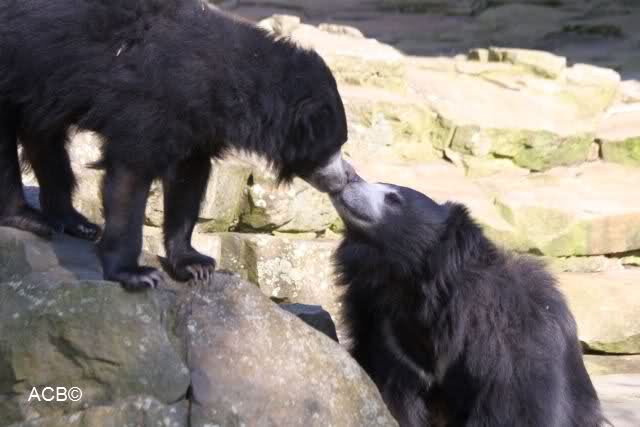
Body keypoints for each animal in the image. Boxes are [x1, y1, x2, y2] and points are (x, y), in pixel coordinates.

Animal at [0, 0, 350, 290]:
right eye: (332, 147)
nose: (342, 180)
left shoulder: (197, 125)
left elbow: (187, 181)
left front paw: (194, 264)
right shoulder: (152, 101)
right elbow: (130, 174)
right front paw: (136, 274)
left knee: (44, 137)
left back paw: (75, 222)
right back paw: (27, 218)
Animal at [330, 177, 604, 427]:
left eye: (393, 198)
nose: (348, 179)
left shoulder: (510, 338)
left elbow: (516, 404)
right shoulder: (386, 334)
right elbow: (393, 394)